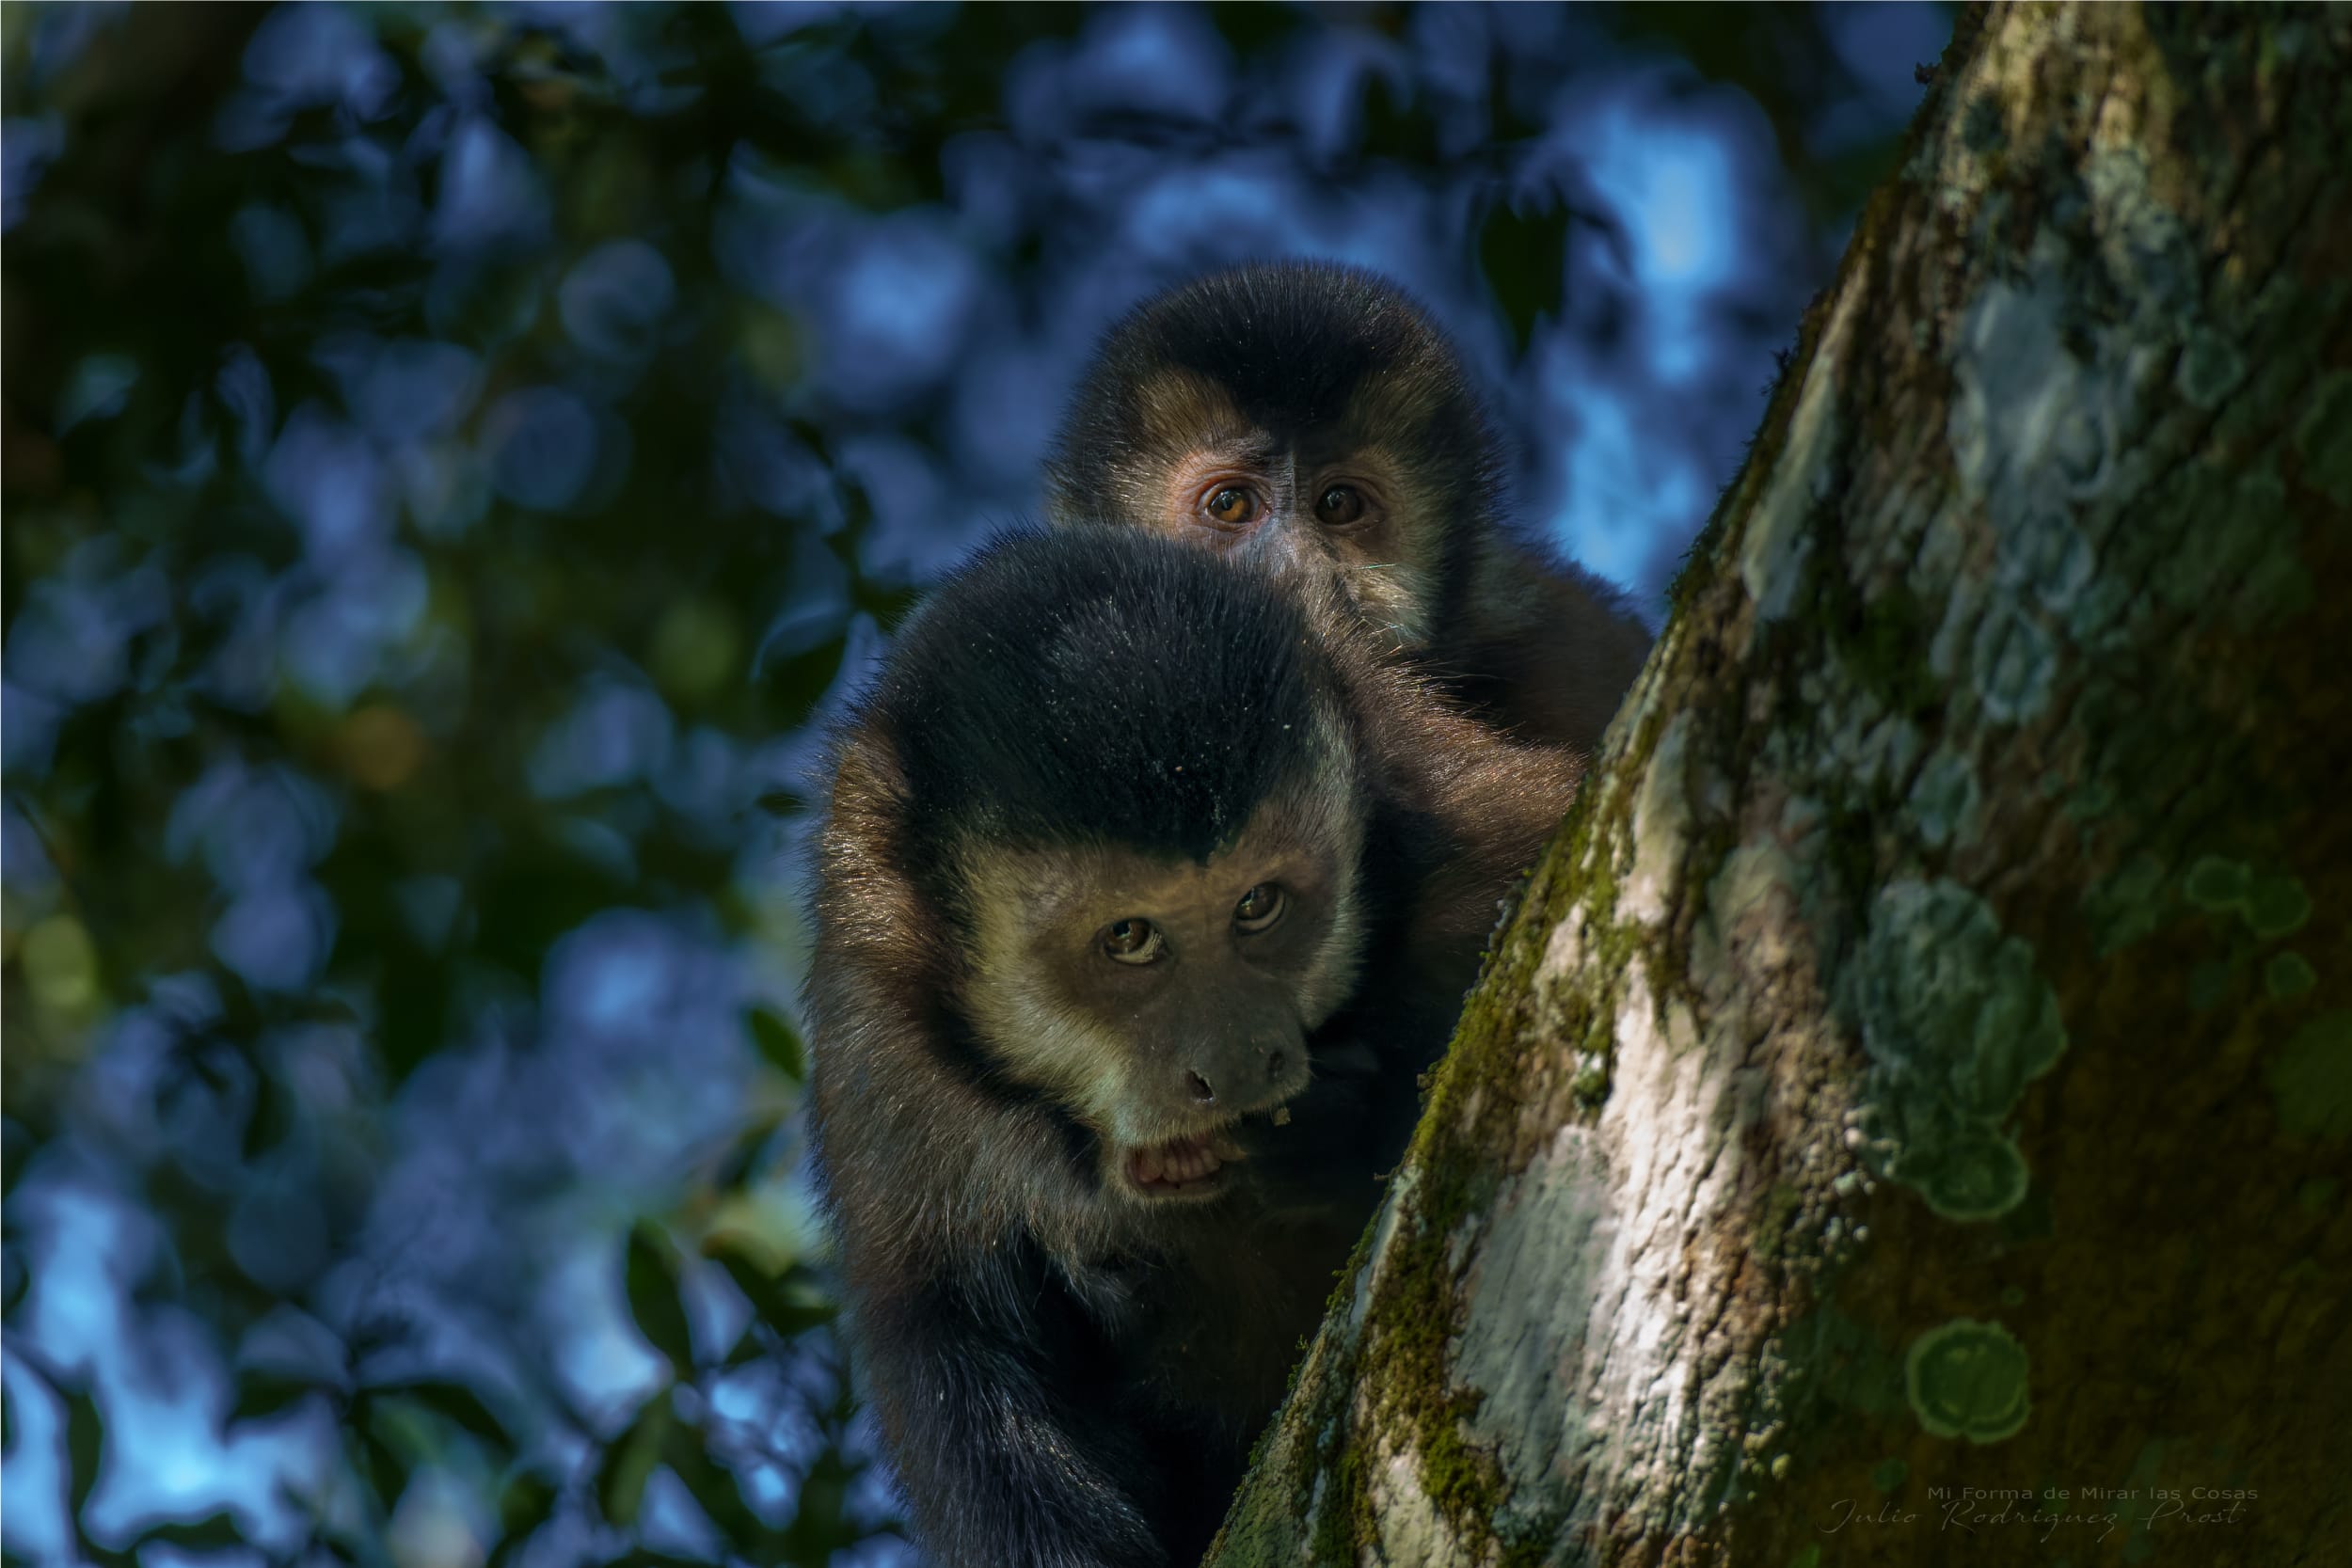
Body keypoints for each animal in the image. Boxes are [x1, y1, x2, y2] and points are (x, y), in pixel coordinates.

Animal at [803, 527, 1578, 1568]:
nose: (1242, 1062)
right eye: (1128, 938)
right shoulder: (881, 1055)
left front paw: (1338, 1133)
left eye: (1257, 905)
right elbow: (950, 1339)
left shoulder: (1459, 830)